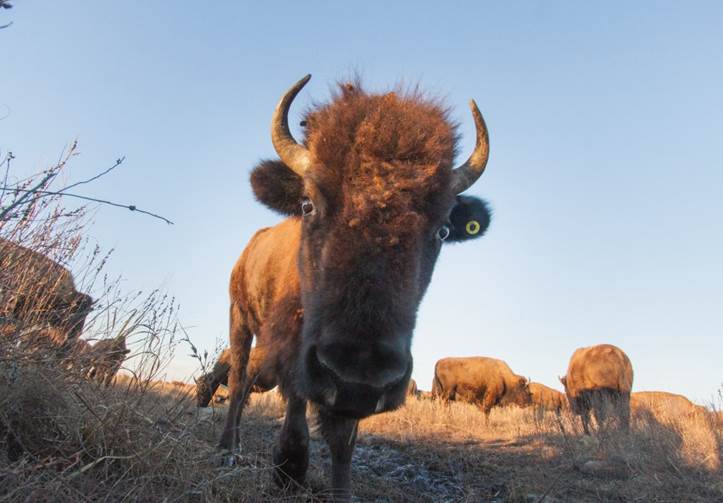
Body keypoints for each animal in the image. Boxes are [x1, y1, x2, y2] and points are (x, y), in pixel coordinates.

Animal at [221, 76, 492, 500]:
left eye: (443, 229)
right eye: (308, 204)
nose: (358, 375)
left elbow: (344, 440)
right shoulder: (295, 351)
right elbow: (296, 409)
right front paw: (287, 472)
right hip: (238, 319)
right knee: (236, 379)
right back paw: (228, 450)